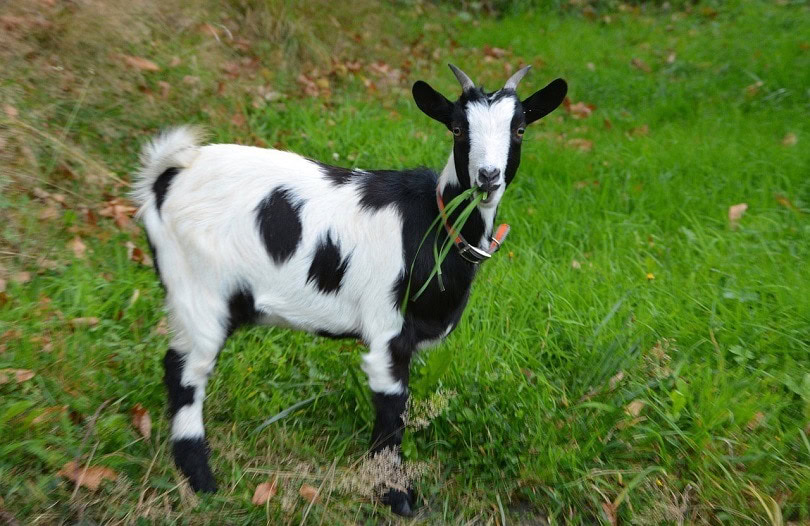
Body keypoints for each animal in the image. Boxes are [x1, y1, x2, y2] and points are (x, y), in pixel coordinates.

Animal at [133, 64, 567, 516]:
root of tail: (167, 176)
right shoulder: (387, 332)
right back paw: (200, 479)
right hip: (199, 290)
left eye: (520, 129)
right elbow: (392, 411)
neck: (433, 225)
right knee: (184, 371)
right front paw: (394, 495)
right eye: (458, 128)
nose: (487, 177)